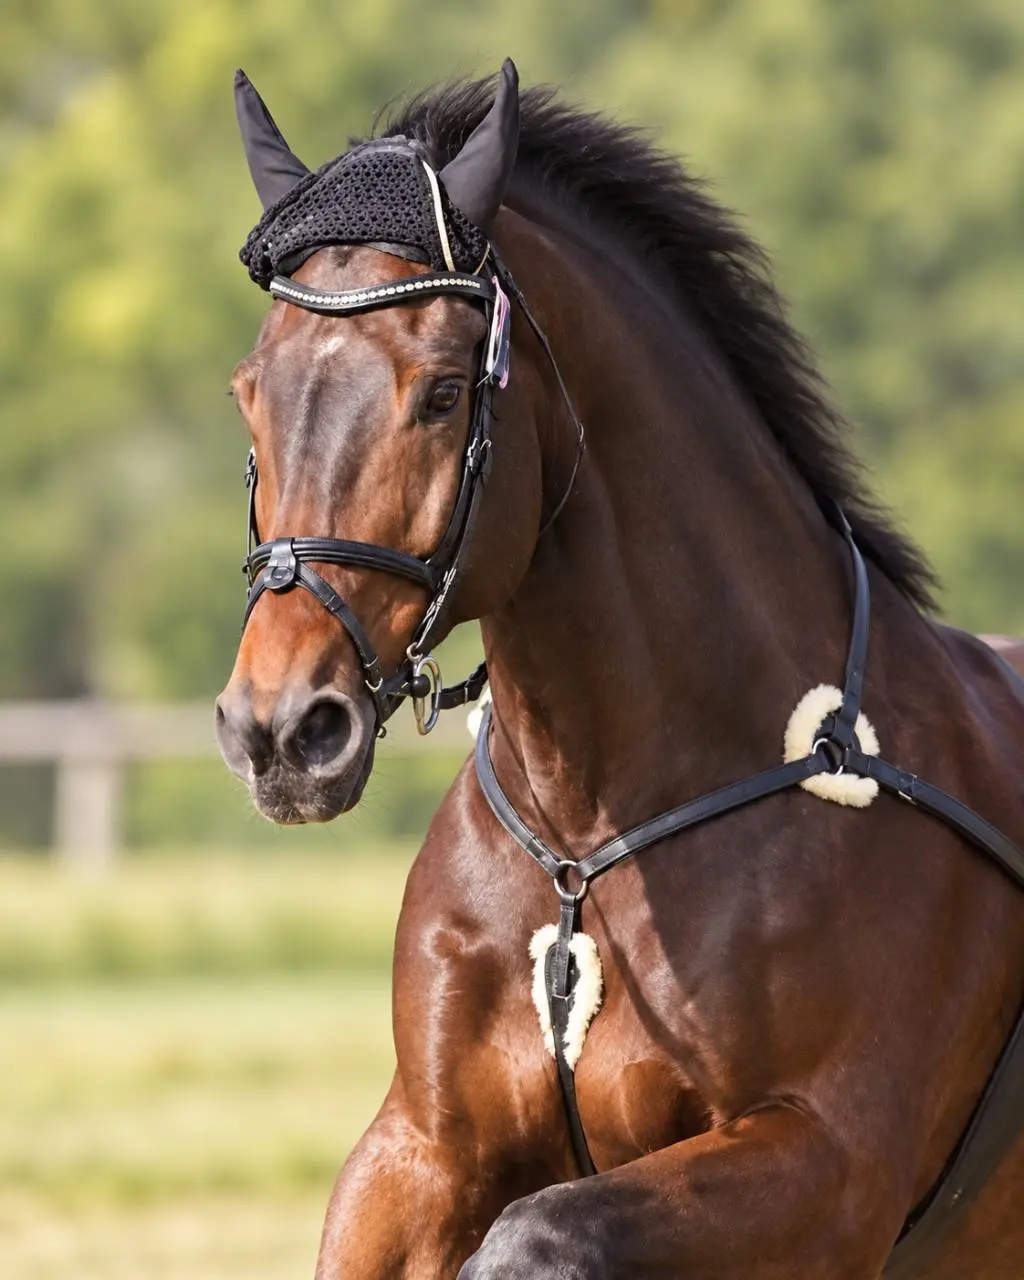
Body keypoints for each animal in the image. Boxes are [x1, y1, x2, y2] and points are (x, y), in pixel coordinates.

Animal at [215, 63, 1024, 1278]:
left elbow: (538, 1230)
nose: (280, 729)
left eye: (443, 392)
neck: (589, 842)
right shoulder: (415, 1155)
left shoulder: (827, 1169)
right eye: (249, 390)